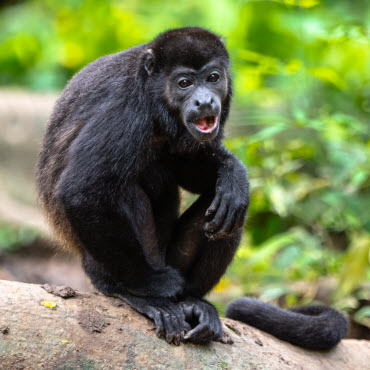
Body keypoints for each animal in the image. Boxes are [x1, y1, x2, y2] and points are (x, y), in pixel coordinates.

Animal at [37, 27, 346, 348]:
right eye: (184, 83)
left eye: (213, 78)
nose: (205, 102)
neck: (156, 98)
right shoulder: (125, 108)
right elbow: (82, 190)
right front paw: (149, 284)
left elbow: (193, 173)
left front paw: (235, 174)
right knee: (121, 191)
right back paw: (138, 294)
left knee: (229, 211)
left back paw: (193, 301)